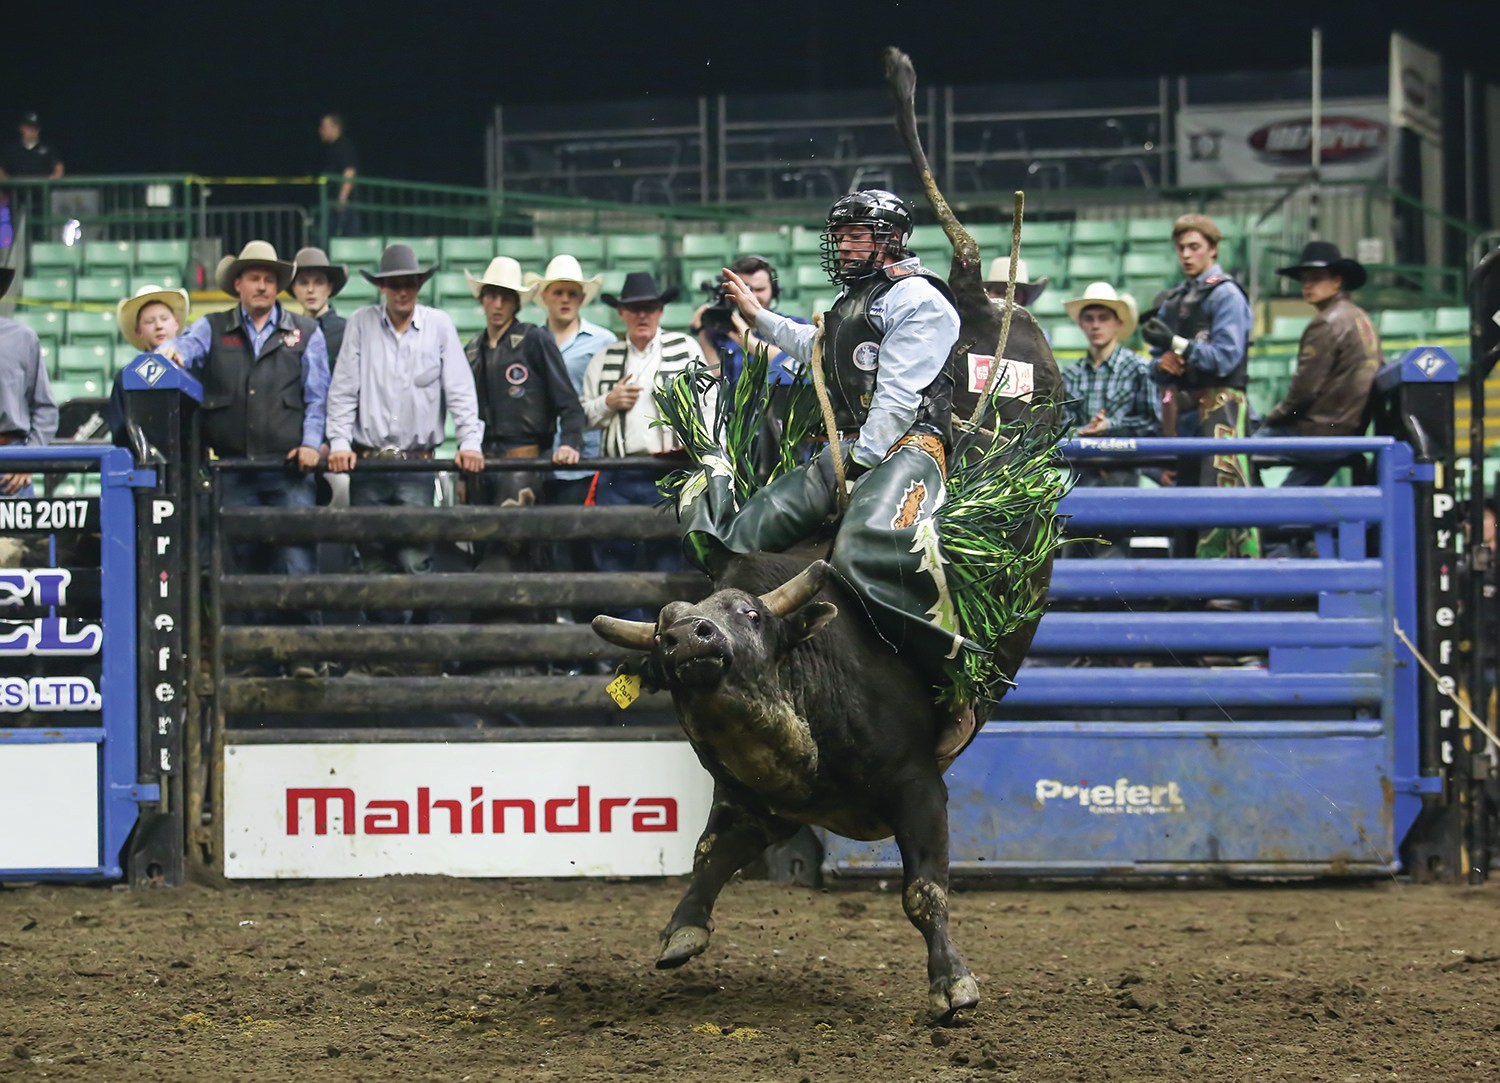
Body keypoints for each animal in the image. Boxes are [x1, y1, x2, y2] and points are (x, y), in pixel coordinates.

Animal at [591, 46, 1062, 1020]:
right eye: (664, 634)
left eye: (750, 619)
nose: (690, 638)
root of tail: (974, 295)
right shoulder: (749, 798)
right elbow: (711, 853)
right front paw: (682, 930)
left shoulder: (921, 788)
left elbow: (925, 887)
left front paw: (952, 982)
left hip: (940, 452)